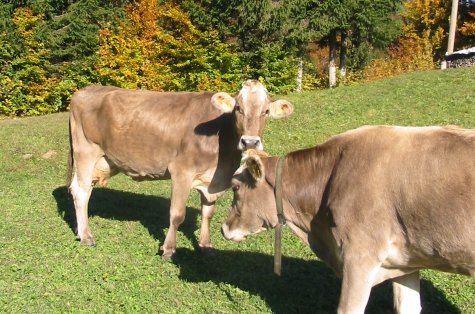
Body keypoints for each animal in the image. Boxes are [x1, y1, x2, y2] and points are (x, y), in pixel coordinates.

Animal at [66, 80, 290, 258]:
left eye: (266, 111)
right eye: (238, 108)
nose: (250, 142)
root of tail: (84, 90)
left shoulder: (212, 180)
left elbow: (208, 213)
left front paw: (206, 246)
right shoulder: (181, 171)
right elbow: (177, 214)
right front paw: (168, 249)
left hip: (104, 160)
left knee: (79, 189)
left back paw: (79, 228)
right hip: (86, 151)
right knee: (82, 191)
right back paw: (86, 235)